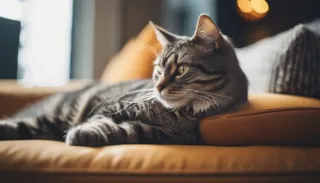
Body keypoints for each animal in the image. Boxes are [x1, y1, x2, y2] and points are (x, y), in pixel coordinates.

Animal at [0, 13, 248, 147]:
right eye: (159, 70)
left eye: (181, 69)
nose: (158, 87)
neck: (175, 114)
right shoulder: (112, 107)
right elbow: (100, 119)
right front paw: (85, 131)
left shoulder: (154, 132)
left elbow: (121, 130)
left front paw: (87, 134)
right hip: (55, 116)